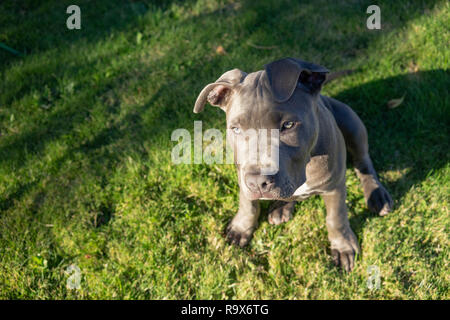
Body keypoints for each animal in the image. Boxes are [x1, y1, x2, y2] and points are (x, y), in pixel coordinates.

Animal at [193, 58, 394, 272]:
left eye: (288, 125)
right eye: (236, 129)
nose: (257, 183)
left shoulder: (335, 186)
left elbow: (336, 218)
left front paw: (343, 247)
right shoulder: (242, 173)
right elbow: (247, 202)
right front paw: (241, 227)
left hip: (352, 123)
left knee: (363, 161)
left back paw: (377, 195)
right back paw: (282, 207)